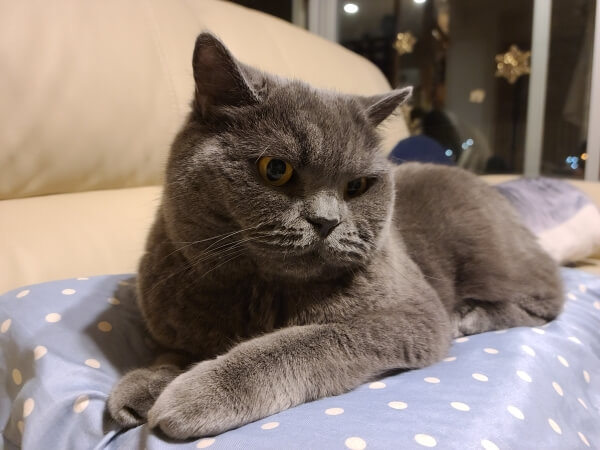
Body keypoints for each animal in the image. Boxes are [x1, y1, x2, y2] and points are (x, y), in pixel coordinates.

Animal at [106, 32, 564, 440]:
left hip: (489, 256)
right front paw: (144, 383)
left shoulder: (409, 313)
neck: (260, 291)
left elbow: (304, 339)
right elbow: (175, 350)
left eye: (357, 186)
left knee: (546, 299)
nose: (326, 221)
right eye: (276, 169)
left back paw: (468, 316)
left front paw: (197, 393)